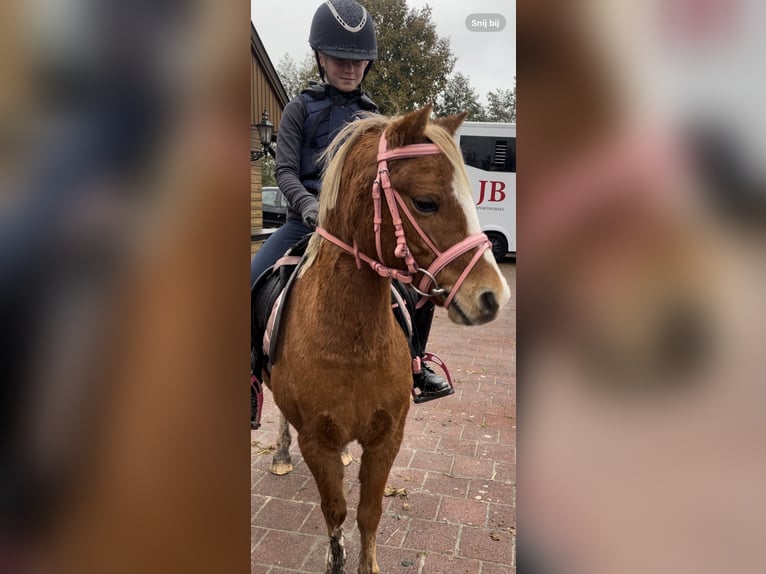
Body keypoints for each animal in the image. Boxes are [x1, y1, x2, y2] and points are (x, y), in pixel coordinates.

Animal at [262, 104, 510, 574]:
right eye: (426, 202)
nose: (493, 296)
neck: (351, 343)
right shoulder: (315, 442)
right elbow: (336, 514)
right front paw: (335, 558)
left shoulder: (387, 437)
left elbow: (368, 513)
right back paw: (281, 455)